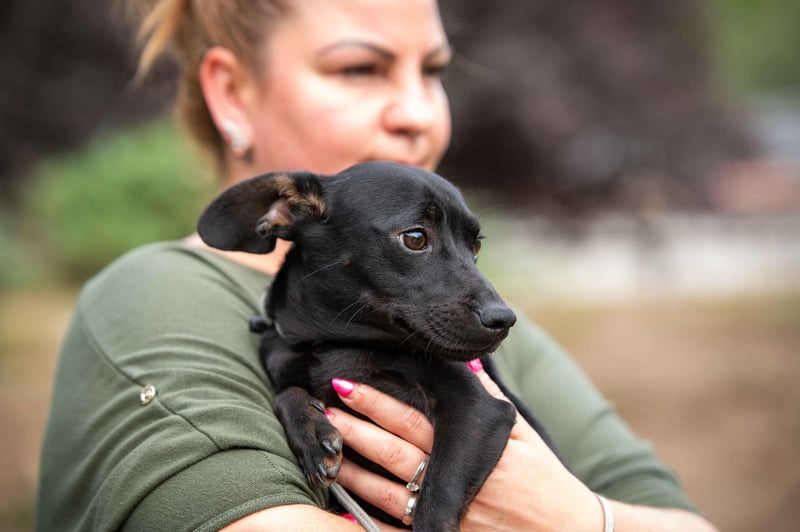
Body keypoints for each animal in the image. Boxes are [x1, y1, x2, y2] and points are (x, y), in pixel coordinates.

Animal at [197, 161, 558, 530]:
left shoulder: (479, 409)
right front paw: (313, 437)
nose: (504, 320)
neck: (339, 343)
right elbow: (285, 394)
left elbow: (436, 502)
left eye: (476, 247)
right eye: (415, 238)